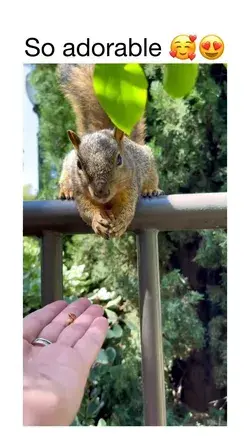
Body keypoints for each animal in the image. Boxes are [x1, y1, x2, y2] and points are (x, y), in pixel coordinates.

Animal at [57, 63, 163, 239]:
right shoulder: (81, 192)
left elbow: (128, 207)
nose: (101, 192)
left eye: (119, 159)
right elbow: (86, 210)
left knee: (151, 178)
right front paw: (97, 220)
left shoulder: (130, 185)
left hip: (147, 162)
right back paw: (65, 191)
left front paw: (121, 221)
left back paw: (150, 190)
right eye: (79, 165)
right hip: (67, 169)